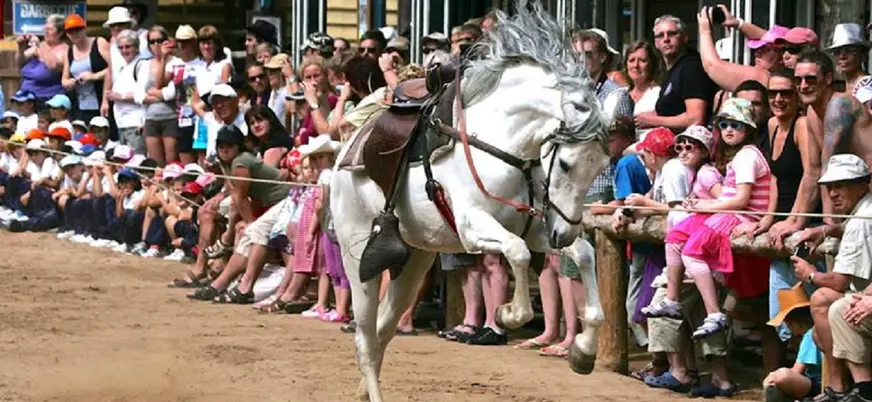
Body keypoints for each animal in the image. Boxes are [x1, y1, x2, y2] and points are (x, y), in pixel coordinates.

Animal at [331, 3, 610, 400]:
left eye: (601, 166)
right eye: (566, 164)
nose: (564, 235)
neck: (503, 142)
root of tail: (344, 154)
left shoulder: (534, 228)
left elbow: (583, 255)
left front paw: (583, 351)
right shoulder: (472, 226)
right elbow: (517, 253)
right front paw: (510, 315)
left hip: (414, 260)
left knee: (383, 331)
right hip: (359, 260)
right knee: (366, 340)